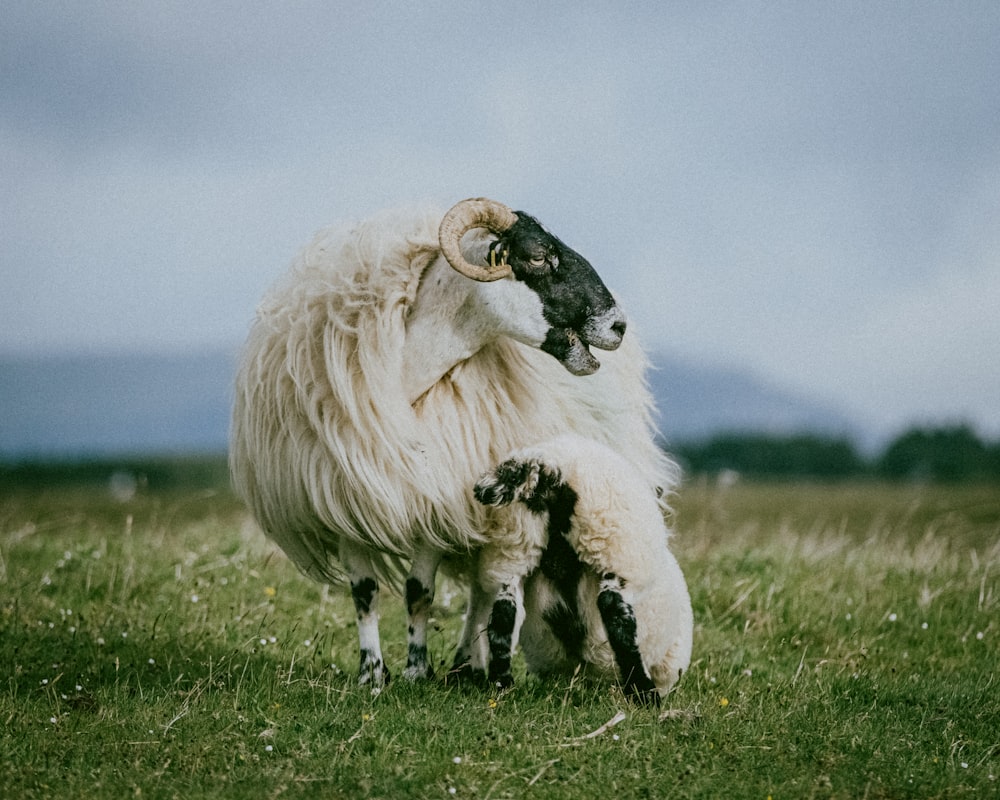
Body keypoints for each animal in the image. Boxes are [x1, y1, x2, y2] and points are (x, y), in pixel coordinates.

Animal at [230, 198, 676, 688]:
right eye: (539, 256)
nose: (617, 325)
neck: (404, 372)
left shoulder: (435, 502)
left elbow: (419, 591)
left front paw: (417, 670)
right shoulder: (346, 504)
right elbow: (364, 593)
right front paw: (371, 676)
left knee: (485, 589)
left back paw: (467, 663)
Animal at [472, 434, 692, 704]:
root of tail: (546, 469)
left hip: (513, 548)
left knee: (503, 614)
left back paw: (501, 685)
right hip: (614, 545)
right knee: (613, 609)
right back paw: (642, 692)